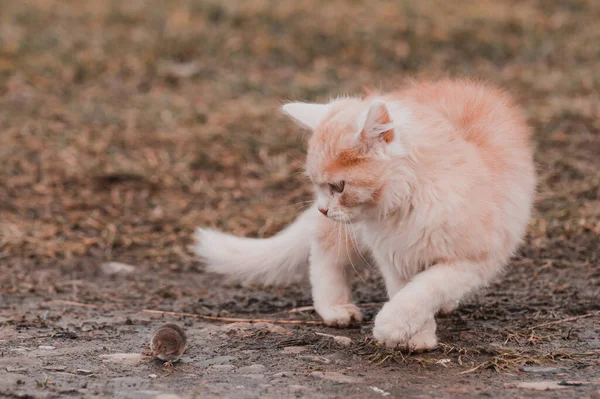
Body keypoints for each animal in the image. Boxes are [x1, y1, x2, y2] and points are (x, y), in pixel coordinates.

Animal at [195, 79, 536, 354]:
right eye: (317, 185)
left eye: (338, 186)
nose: (322, 208)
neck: (409, 199)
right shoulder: (394, 255)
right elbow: (405, 289)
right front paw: (415, 335)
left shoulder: (474, 257)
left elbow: (428, 286)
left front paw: (395, 325)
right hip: (346, 233)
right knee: (324, 255)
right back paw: (335, 307)